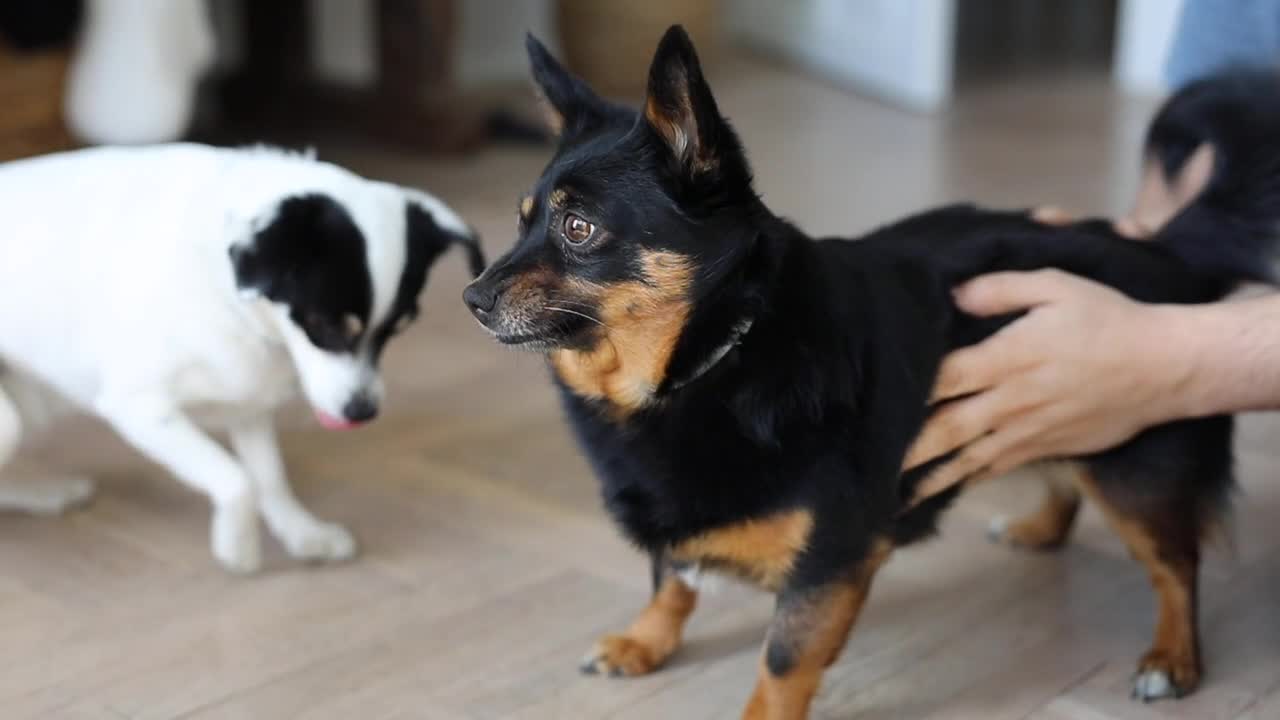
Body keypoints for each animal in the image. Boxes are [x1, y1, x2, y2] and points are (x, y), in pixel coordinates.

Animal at [465, 26, 1280, 717]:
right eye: (521, 222)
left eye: (579, 229)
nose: (471, 297)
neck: (710, 360)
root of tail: (1161, 250)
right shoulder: (679, 515)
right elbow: (671, 580)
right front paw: (644, 641)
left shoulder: (828, 563)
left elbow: (782, 661)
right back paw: (1039, 527)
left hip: (1133, 464)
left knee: (1176, 563)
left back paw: (1172, 656)